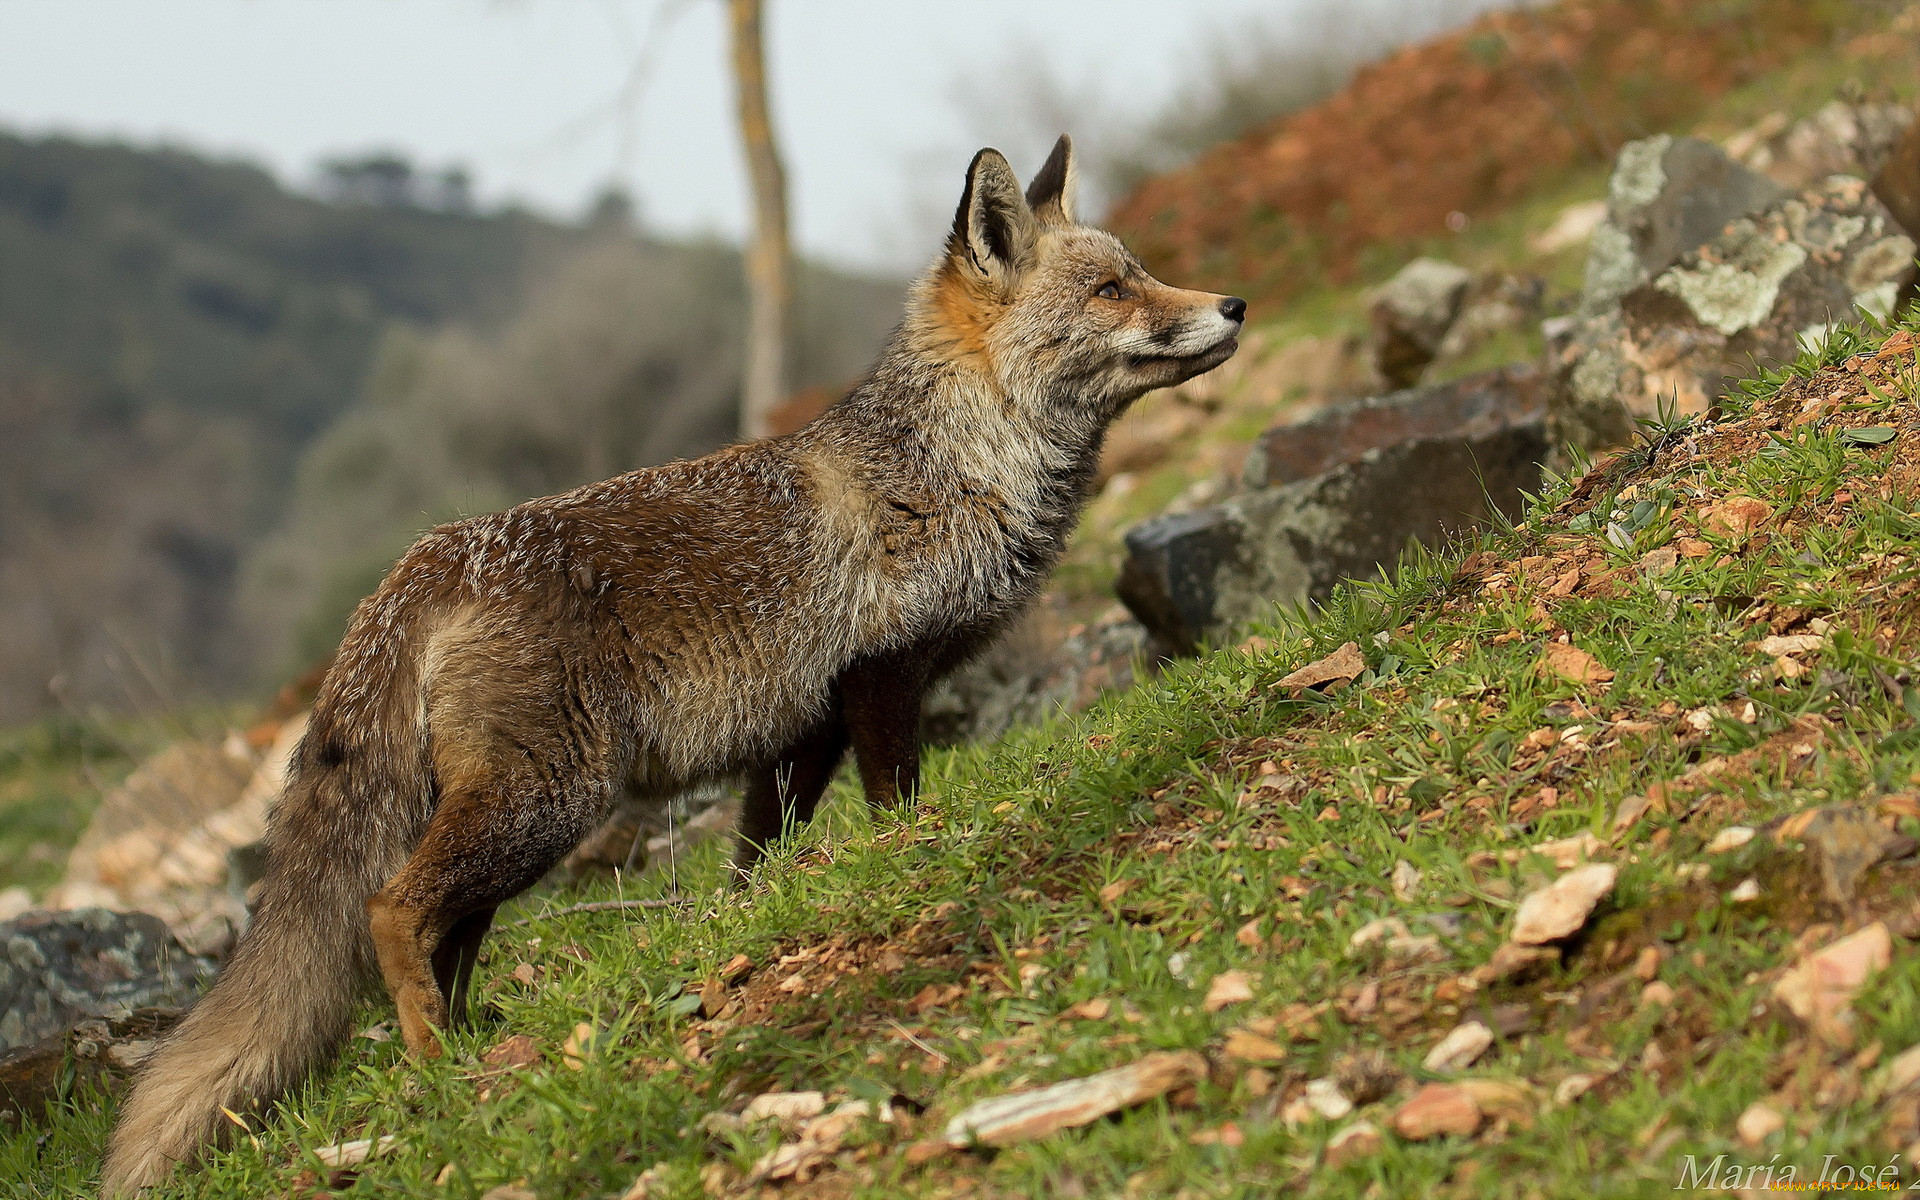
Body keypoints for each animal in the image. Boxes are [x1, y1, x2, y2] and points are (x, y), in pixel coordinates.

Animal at [101, 135, 1244, 1190]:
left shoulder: (801, 730)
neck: (951, 466)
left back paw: (471, 1042)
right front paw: (910, 864)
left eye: (1139, 270)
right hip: (545, 800)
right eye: (1112, 288)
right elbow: (897, 809)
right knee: (392, 908)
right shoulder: (879, 679)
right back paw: (437, 1068)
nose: (1232, 303)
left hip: (513, 821)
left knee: (446, 935)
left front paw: (769, 926)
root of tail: (425, 559)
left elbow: (758, 866)